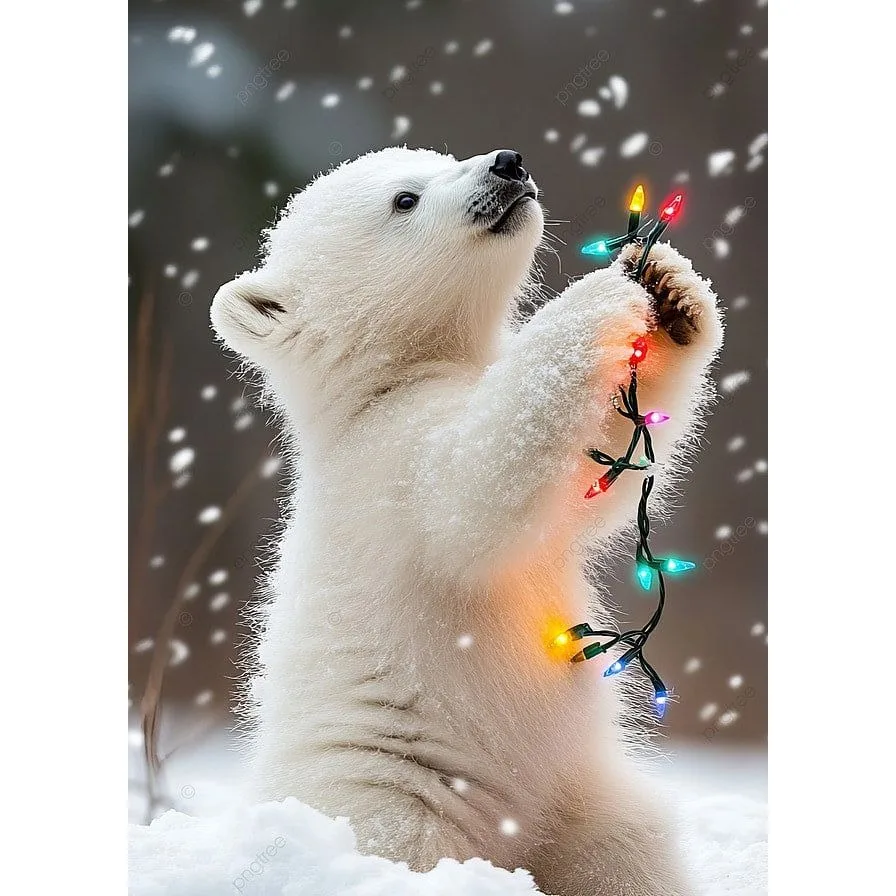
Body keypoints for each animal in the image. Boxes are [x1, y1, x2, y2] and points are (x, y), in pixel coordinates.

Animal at [211, 146, 724, 896]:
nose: (507, 163)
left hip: (579, 797)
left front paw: (672, 289)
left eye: (440, 158)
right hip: (390, 788)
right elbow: (479, 486)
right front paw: (596, 298)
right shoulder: (393, 463)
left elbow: (589, 479)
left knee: (628, 849)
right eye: (406, 199)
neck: (376, 389)